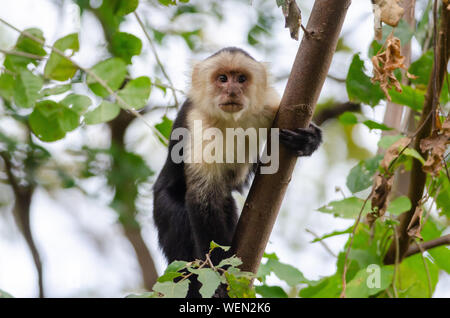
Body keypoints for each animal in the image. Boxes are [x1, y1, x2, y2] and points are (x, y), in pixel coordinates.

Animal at [153, 47, 322, 298]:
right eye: (223, 78)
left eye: (241, 79)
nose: (232, 90)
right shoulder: (199, 123)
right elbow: (204, 198)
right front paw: (220, 273)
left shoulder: (270, 106)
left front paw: (310, 138)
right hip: (163, 204)